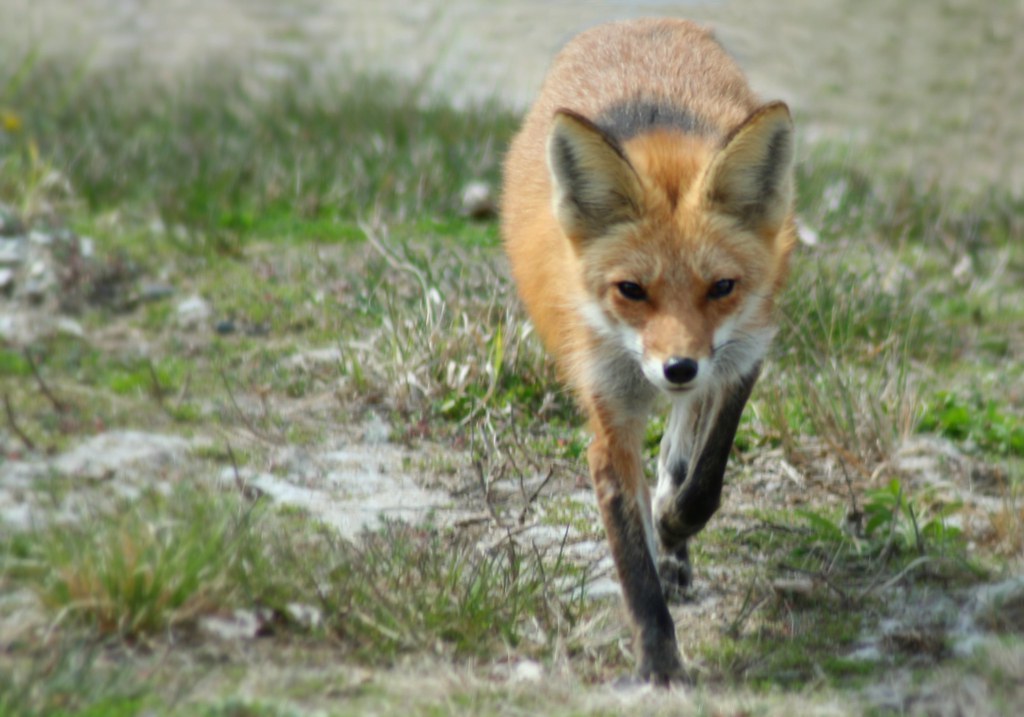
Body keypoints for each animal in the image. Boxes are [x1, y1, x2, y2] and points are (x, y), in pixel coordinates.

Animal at [501, 18, 796, 684]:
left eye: (722, 287)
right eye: (631, 291)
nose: (677, 367)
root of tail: (637, 22)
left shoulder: (744, 354)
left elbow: (703, 479)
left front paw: (673, 523)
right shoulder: (608, 415)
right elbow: (633, 561)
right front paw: (659, 664)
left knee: (684, 448)